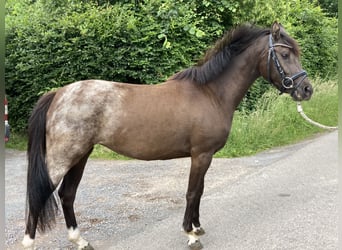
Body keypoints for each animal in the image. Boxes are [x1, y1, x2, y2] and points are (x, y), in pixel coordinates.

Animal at [22, 22, 312, 250]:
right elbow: (192, 192)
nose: (306, 89)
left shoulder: (203, 156)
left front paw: (197, 227)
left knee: (67, 195)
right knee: (39, 194)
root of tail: (58, 93)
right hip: (63, 158)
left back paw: (80, 241)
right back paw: (30, 242)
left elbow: (200, 191)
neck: (210, 93)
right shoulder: (201, 155)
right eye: (285, 54)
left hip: (81, 155)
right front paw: (191, 235)